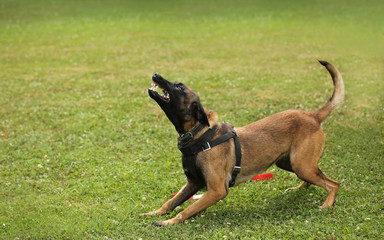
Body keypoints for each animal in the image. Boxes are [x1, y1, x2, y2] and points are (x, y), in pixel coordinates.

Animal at [141, 61, 344, 226]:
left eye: (179, 86)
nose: (156, 74)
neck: (199, 133)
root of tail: (312, 116)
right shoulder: (193, 183)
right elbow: (171, 202)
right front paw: (154, 213)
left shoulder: (216, 190)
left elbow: (186, 210)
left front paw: (168, 222)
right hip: (291, 163)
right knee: (316, 178)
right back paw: (298, 189)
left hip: (302, 165)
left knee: (333, 184)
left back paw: (327, 204)